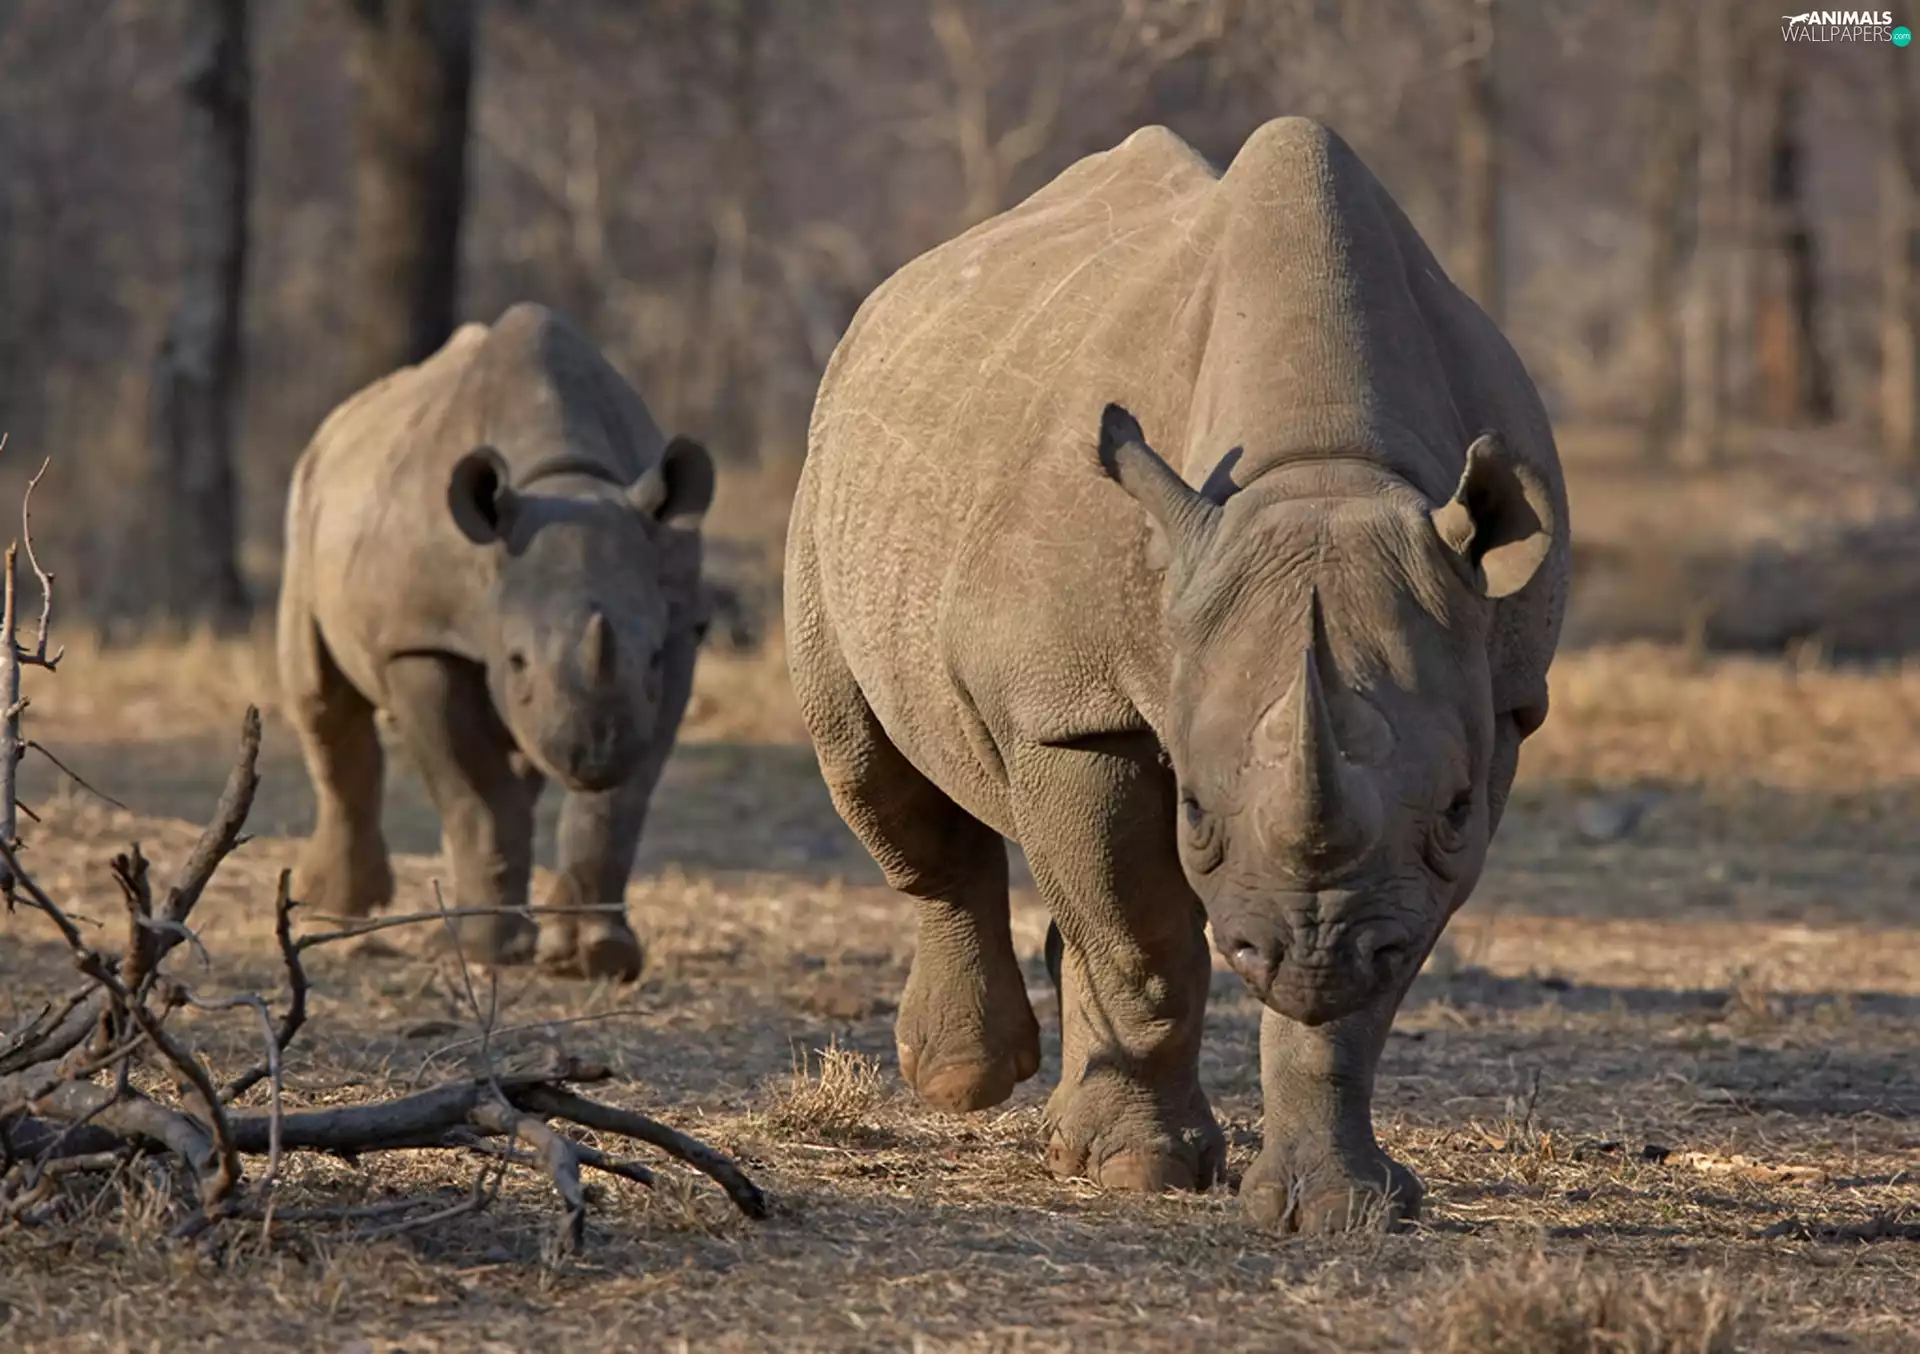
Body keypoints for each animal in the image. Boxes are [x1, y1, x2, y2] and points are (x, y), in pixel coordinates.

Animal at [278, 302, 715, 980]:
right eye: (515, 660)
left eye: (649, 659)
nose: (594, 754)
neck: (566, 481)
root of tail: (340, 421)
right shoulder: (424, 640)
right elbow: (476, 793)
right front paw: (487, 953)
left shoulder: (679, 628)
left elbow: (620, 803)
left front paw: (597, 957)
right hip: (306, 501)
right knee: (321, 699)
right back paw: (339, 910)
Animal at [785, 119, 1567, 1230]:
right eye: (1195, 809)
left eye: (1456, 810)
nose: (1311, 955)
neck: (1323, 465)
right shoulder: (1075, 708)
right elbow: (1144, 937)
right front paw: (1139, 1171)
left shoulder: (1494, 708)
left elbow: (1363, 986)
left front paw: (1341, 1208)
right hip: (835, 479)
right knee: (871, 763)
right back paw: (966, 1081)